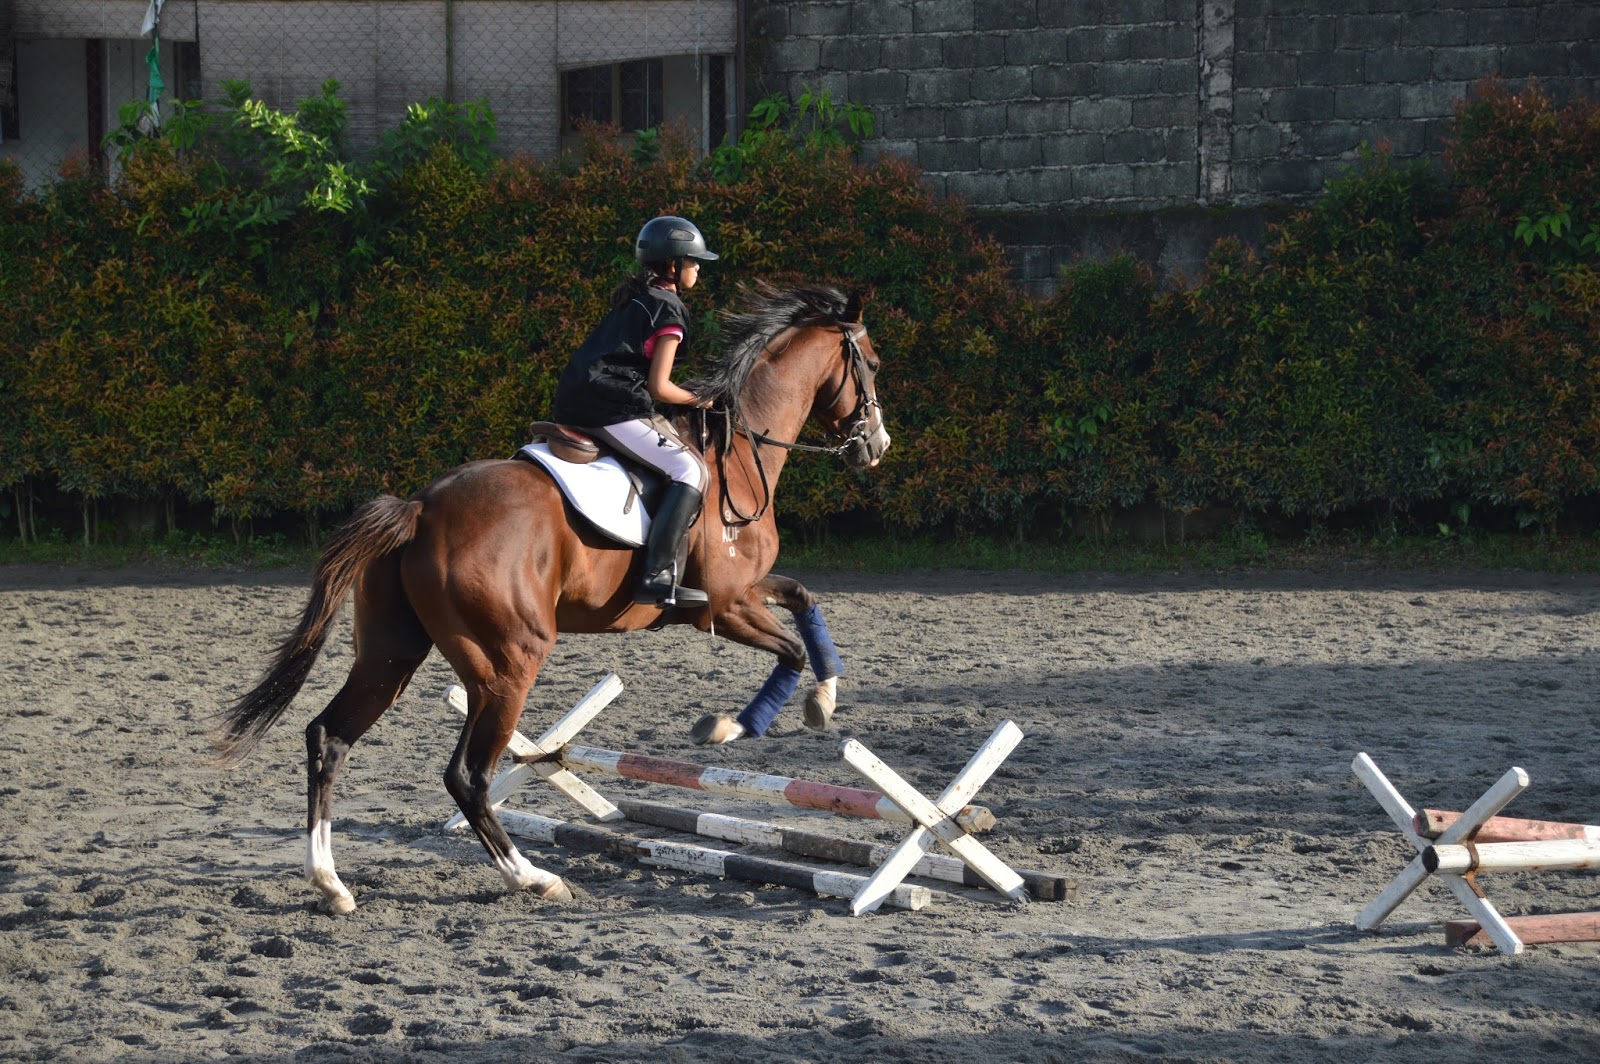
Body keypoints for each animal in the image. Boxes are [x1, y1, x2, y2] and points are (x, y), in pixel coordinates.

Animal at [213, 283, 890, 913]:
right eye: (874, 364)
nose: (876, 445)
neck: (739, 455)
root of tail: (420, 508)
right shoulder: (720, 606)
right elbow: (789, 651)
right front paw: (734, 725)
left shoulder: (745, 591)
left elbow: (802, 600)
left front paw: (824, 697)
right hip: (509, 662)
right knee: (467, 775)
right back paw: (533, 877)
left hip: (392, 654)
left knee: (330, 738)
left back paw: (331, 883)